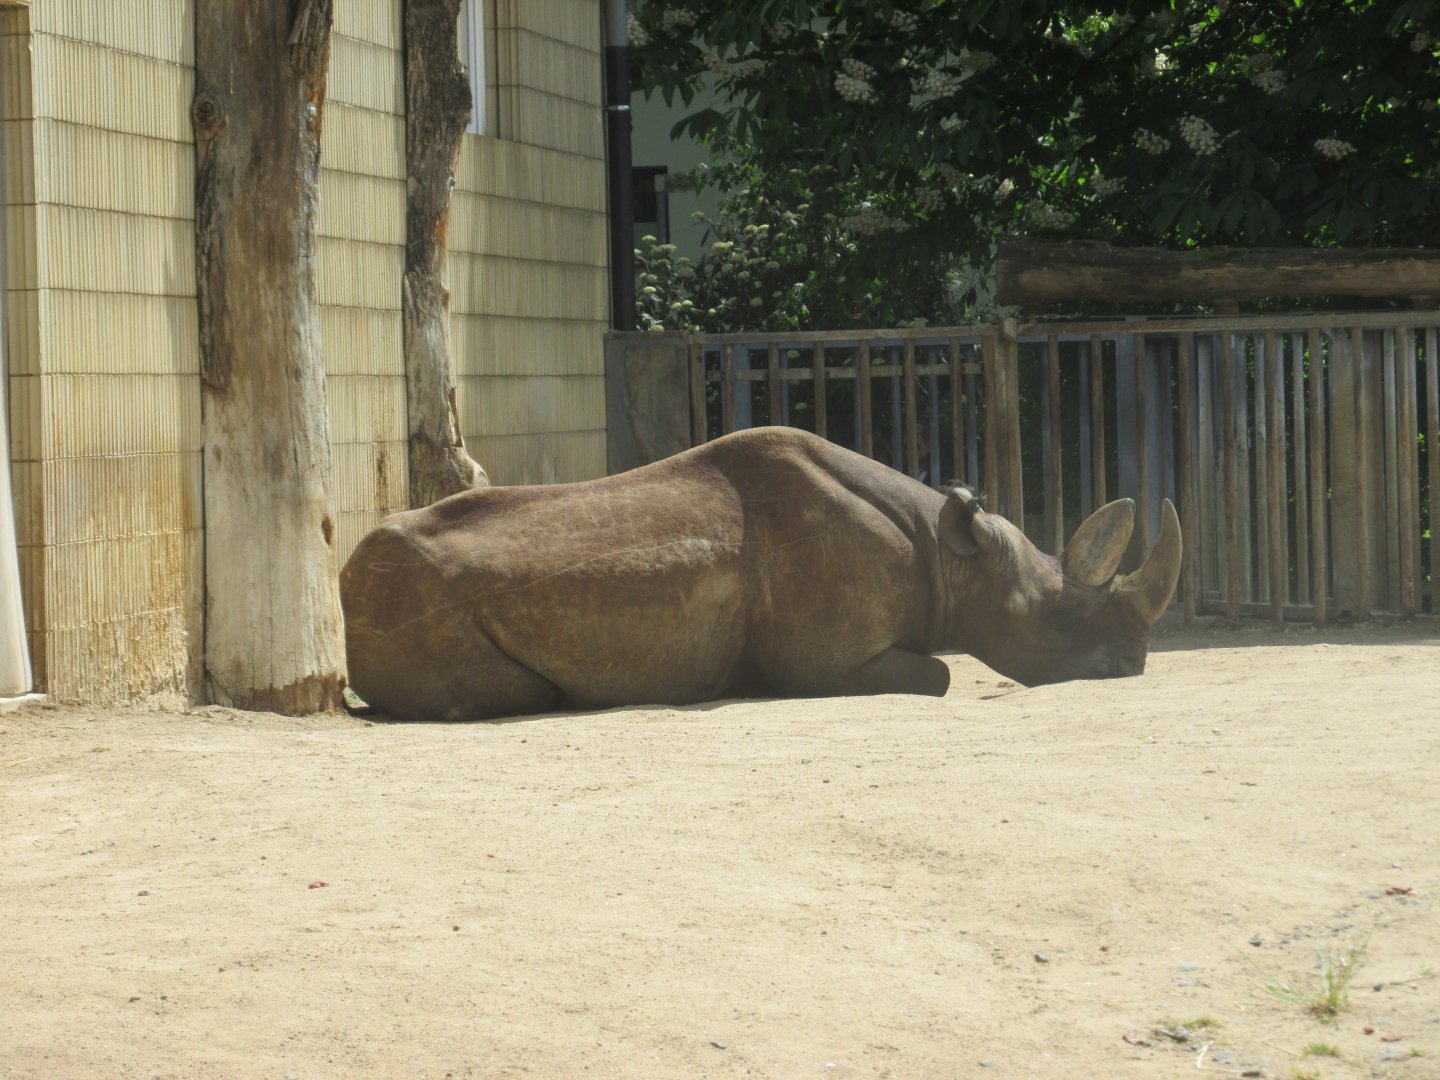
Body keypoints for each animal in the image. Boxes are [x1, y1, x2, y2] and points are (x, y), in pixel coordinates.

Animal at [340, 427, 1181, 721]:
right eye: (1059, 620)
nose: (1132, 665)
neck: (953, 557)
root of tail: (343, 586)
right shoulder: (827, 657)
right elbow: (939, 676)